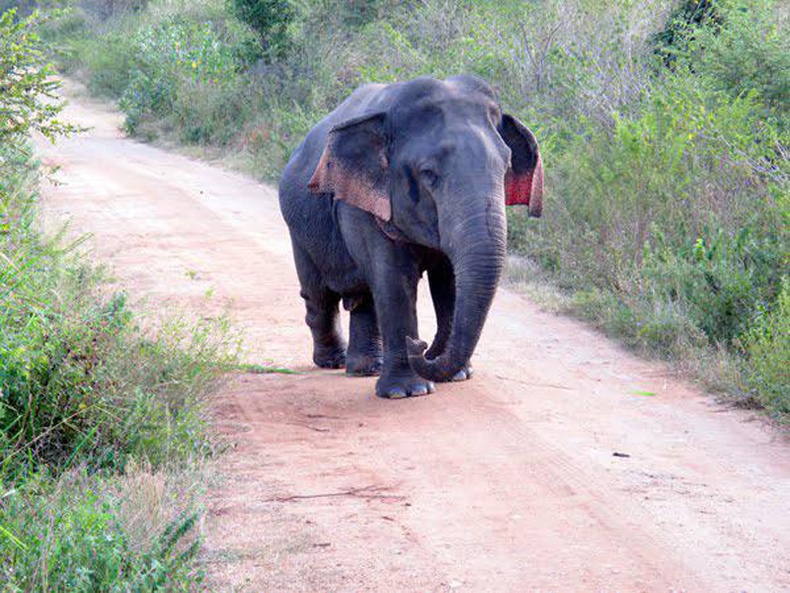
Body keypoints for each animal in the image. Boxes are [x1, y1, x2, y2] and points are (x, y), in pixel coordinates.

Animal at [278, 74, 544, 398]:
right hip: (299, 229)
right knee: (319, 295)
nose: (422, 346)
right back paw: (334, 361)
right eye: (428, 173)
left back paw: (365, 368)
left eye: (506, 168)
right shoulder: (361, 204)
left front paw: (458, 376)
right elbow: (394, 279)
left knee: (364, 298)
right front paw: (407, 392)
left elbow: (448, 281)